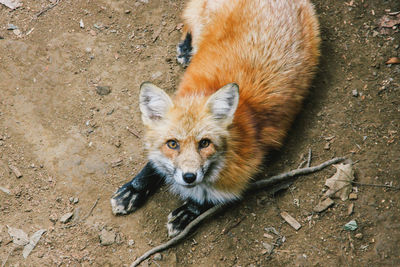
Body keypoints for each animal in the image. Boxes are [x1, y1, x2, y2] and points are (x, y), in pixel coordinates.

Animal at [111, 0, 320, 238]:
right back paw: (187, 48)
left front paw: (188, 211)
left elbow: (210, 197)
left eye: (205, 143)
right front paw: (133, 190)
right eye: (172, 144)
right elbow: (153, 165)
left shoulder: (248, 169)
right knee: (189, 22)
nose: (189, 177)